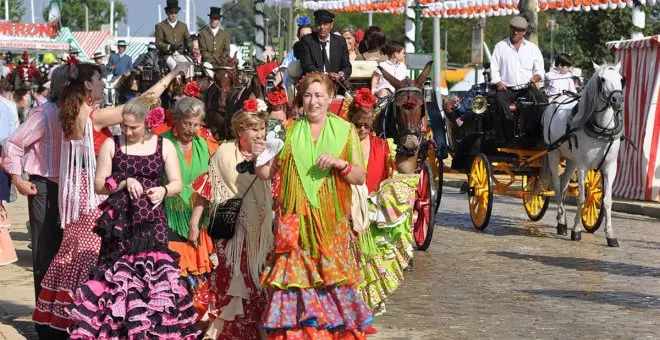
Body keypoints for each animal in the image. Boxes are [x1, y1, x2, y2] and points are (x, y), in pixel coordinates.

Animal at [540, 61, 624, 247]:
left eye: (621, 79)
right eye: (602, 79)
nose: (617, 100)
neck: (601, 130)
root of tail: (557, 99)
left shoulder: (610, 167)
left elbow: (607, 200)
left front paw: (610, 235)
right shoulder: (583, 166)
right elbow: (581, 198)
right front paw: (576, 230)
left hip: (571, 160)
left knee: (563, 184)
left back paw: (561, 222)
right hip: (554, 153)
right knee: (556, 185)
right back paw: (562, 222)